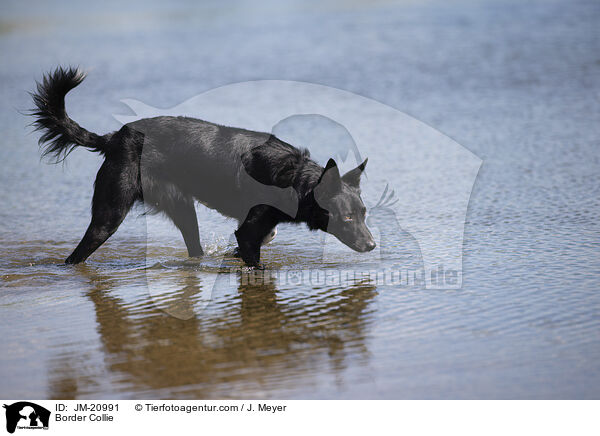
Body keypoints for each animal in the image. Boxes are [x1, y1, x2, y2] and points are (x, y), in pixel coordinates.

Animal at [31, 66, 376, 268]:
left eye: (364, 214)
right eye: (346, 217)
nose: (373, 245)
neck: (293, 180)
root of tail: (115, 137)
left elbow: (262, 239)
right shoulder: (247, 230)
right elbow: (254, 257)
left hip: (183, 209)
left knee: (193, 248)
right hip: (110, 213)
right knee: (78, 253)